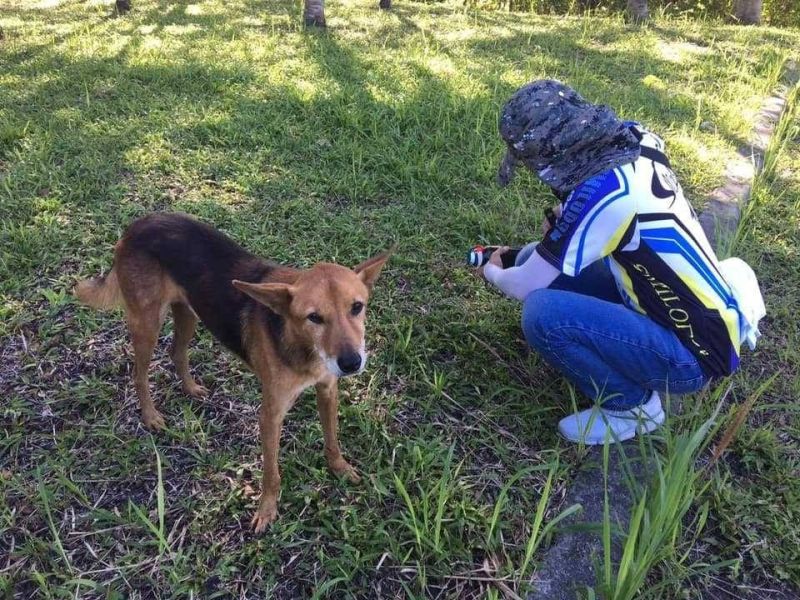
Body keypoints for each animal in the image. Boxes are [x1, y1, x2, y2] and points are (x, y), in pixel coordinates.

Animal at [75, 213, 390, 532]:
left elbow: (332, 440)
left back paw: (191, 389)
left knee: (176, 352)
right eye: (314, 317)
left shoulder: (327, 390)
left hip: (189, 311)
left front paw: (340, 469)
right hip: (147, 323)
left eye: (357, 307)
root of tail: (139, 223)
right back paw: (151, 416)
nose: (351, 363)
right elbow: (271, 472)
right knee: (139, 373)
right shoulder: (270, 415)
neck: (302, 346)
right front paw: (267, 509)